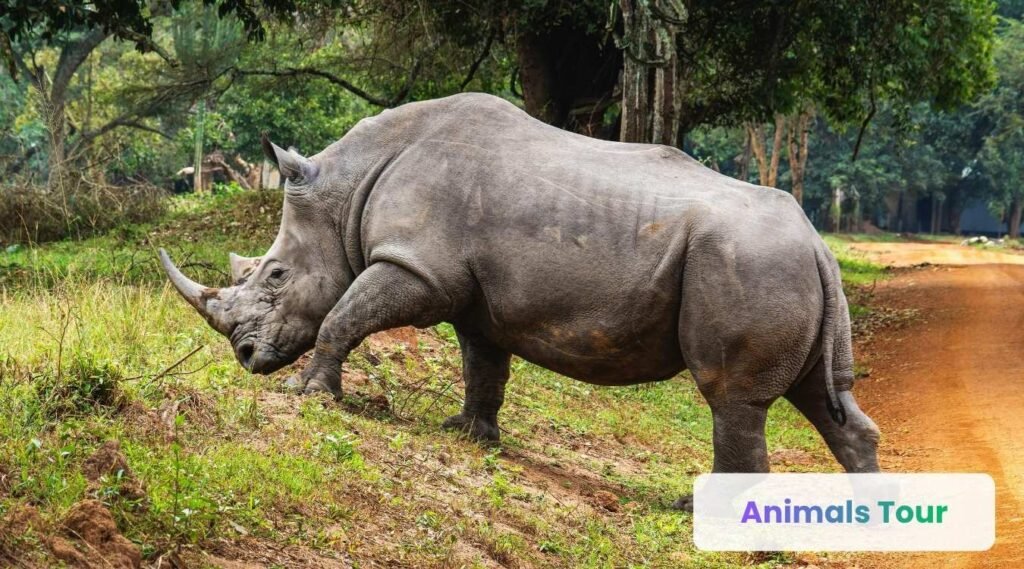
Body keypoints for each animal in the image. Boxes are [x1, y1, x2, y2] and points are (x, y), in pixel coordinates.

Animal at [160, 93, 880, 509]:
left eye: (276, 275)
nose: (247, 356)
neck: (347, 190)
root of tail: (818, 243)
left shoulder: (416, 266)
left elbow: (344, 315)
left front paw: (310, 395)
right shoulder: (468, 292)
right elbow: (483, 365)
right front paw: (467, 434)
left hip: (747, 262)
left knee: (732, 397)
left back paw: (706, 513)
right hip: (780, 268)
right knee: (818, 398)